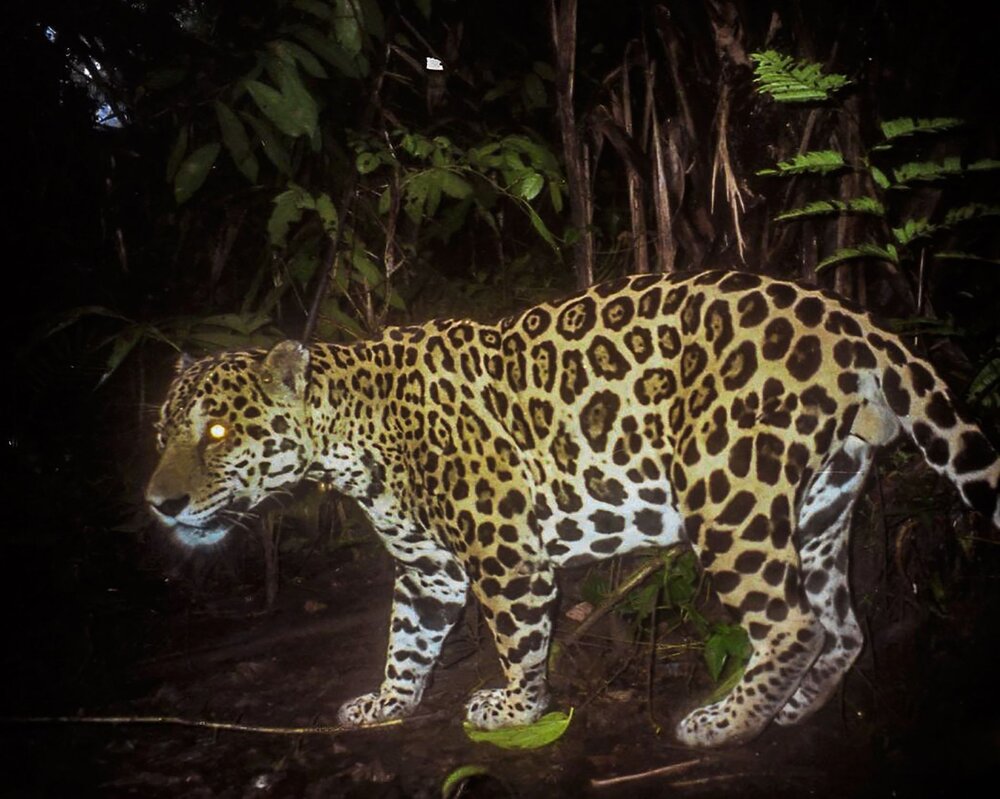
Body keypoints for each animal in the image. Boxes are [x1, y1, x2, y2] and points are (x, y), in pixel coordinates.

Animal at [146, 269, 1000, 748]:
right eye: (161, 434)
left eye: (217, 432)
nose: (159, 502)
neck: (350, 433)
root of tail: (849, 318)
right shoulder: (428, 571)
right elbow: (406, 640)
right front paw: (389, 702)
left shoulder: (505, 554)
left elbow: (519, 640)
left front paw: (516, 709)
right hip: (821, 504)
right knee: (843, 623)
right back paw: (795, 709)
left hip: (727, 494)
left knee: (791, 622)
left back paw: (727, 725)